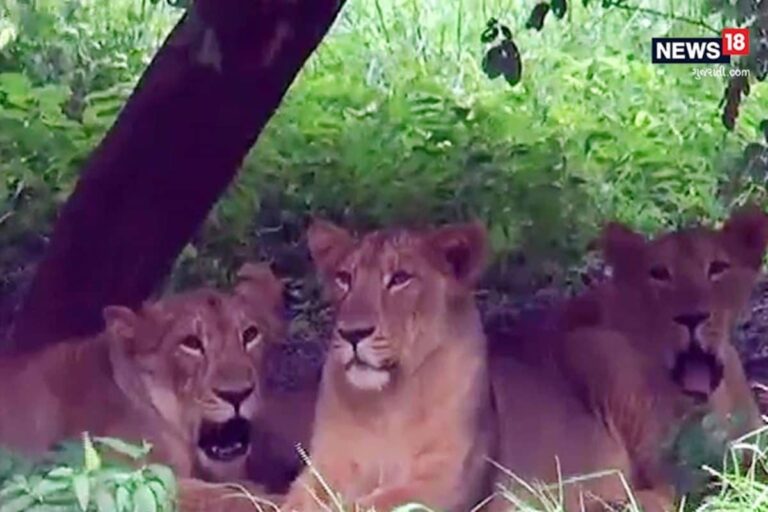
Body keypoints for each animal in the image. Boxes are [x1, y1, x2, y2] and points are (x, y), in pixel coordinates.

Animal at [280, 220, 495, 512]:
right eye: (344, 278)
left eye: (400, 278)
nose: (352, 333)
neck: (387, 404)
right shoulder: (325, 466)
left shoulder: (450, 479)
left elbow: (375, 502)